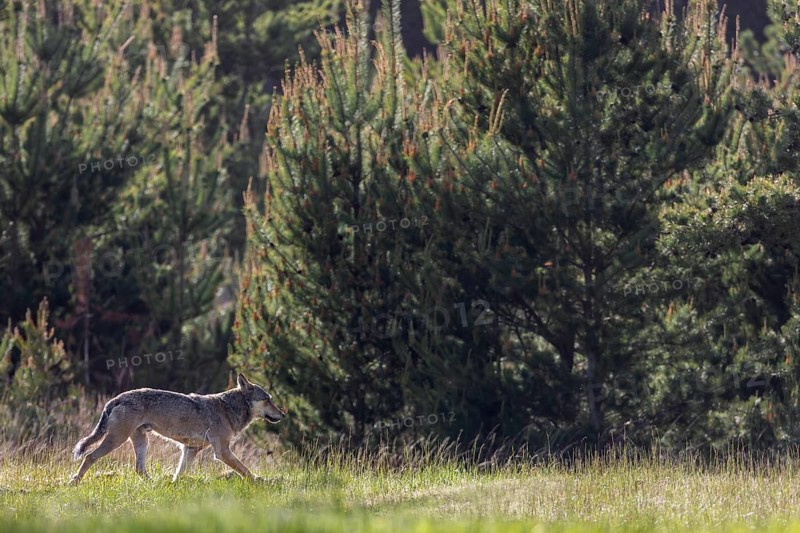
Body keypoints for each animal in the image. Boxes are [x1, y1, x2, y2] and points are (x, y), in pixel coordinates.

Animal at [69, 374, 286, 485]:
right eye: (267, 399)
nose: (283, 414)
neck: (229, 409)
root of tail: (117, 398)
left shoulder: (190, 450)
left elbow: (179, 474)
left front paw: (173, 488)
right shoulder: (222, 451)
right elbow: (246, 471)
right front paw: (260, 483)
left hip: (141, 442)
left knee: (139, 469)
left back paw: (155, 485)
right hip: (116, 440)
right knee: (89, 456)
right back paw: (74, 481)